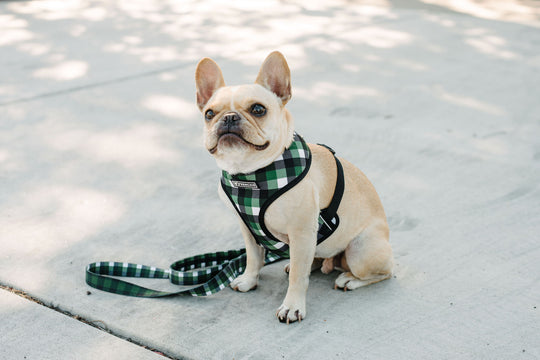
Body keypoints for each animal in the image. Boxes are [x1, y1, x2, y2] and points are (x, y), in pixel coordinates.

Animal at [194, 51, 392, 324]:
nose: (229, 117)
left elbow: (299, 277)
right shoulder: (248, 229)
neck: (250, 173)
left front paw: (292, 306)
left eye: (258, 109)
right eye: (209, 113)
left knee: (382, 272)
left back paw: (349, 279)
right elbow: (253, 257)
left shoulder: (302, 232)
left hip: (360, 250)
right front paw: (249, 280)